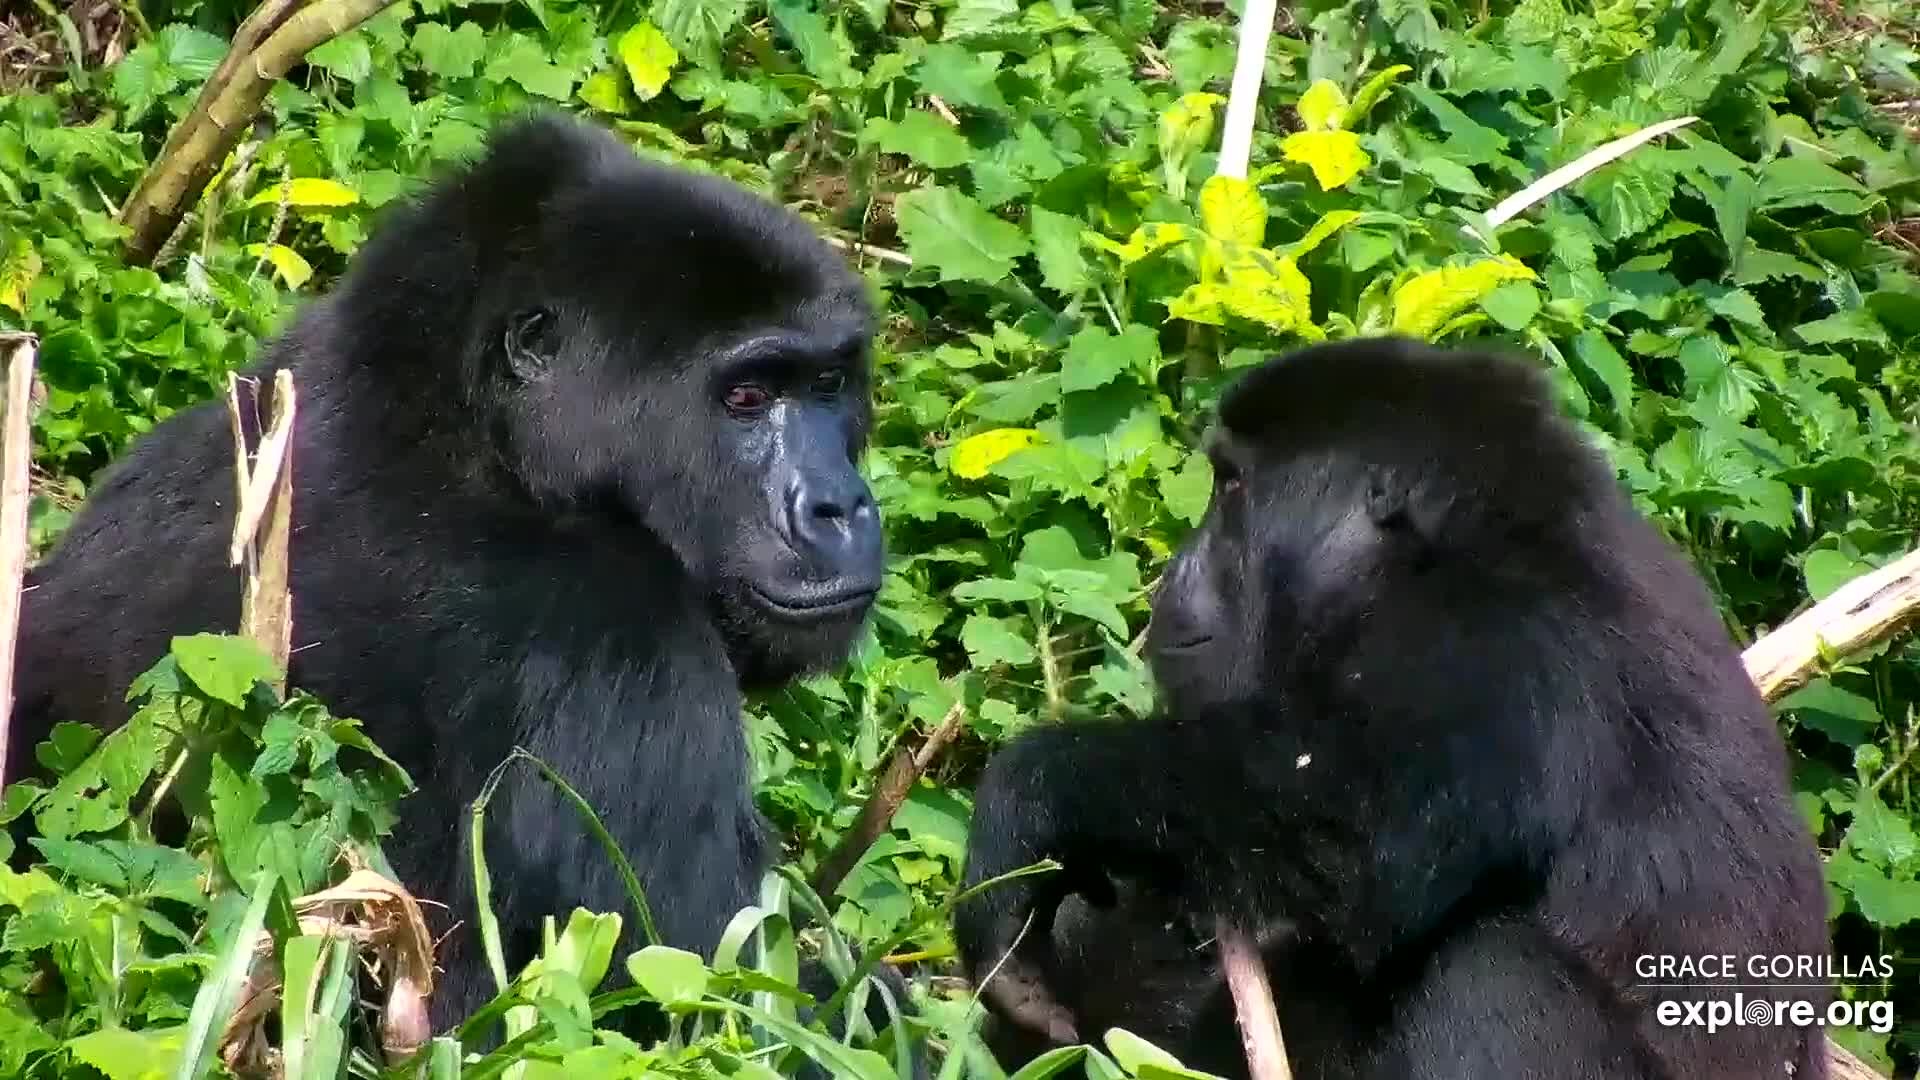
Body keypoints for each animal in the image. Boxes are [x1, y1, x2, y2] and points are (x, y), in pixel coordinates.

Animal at [9, 113, 890, 1030]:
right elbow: (707, 996)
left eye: (828, 384)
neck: (472, 429)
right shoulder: (609, 628)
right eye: (747, 397)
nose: (841, 506)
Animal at [960, 338, 1827, 1076]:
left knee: (1483, 966)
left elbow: (1352, 835)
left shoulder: (1493, 648)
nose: (1172, 574)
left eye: (1232, 486)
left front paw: (1031, 797)